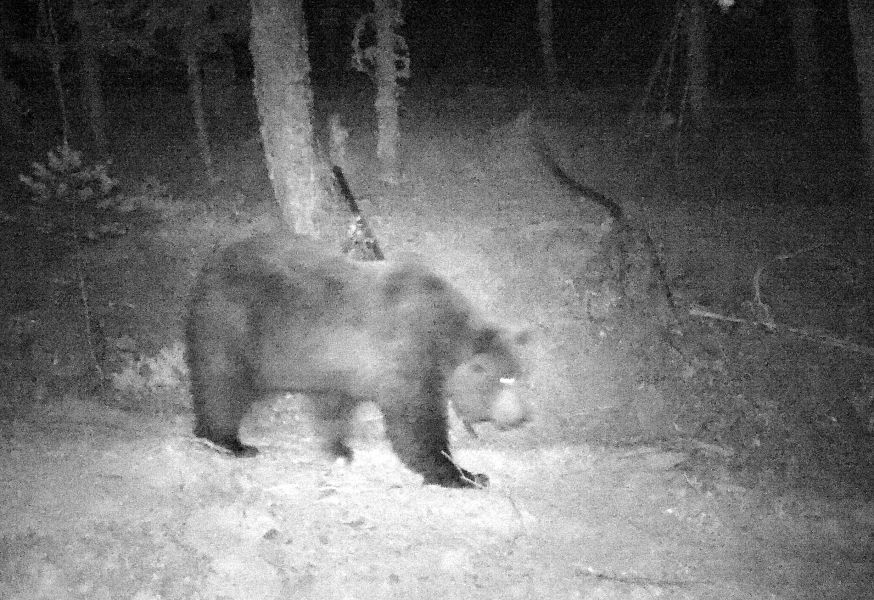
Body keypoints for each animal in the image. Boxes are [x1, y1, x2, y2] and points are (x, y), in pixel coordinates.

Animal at [185, 231, 530, 488]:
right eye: (504, 379)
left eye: (520, 376)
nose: (521, 417)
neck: (445, 340)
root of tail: (211, 264)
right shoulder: (408, 355)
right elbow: (415, 423)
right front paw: (464, 474)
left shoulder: (341, 367)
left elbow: (333, 407)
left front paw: (339, 449)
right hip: (232, 325)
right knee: (222, 385)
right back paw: (229, 442)